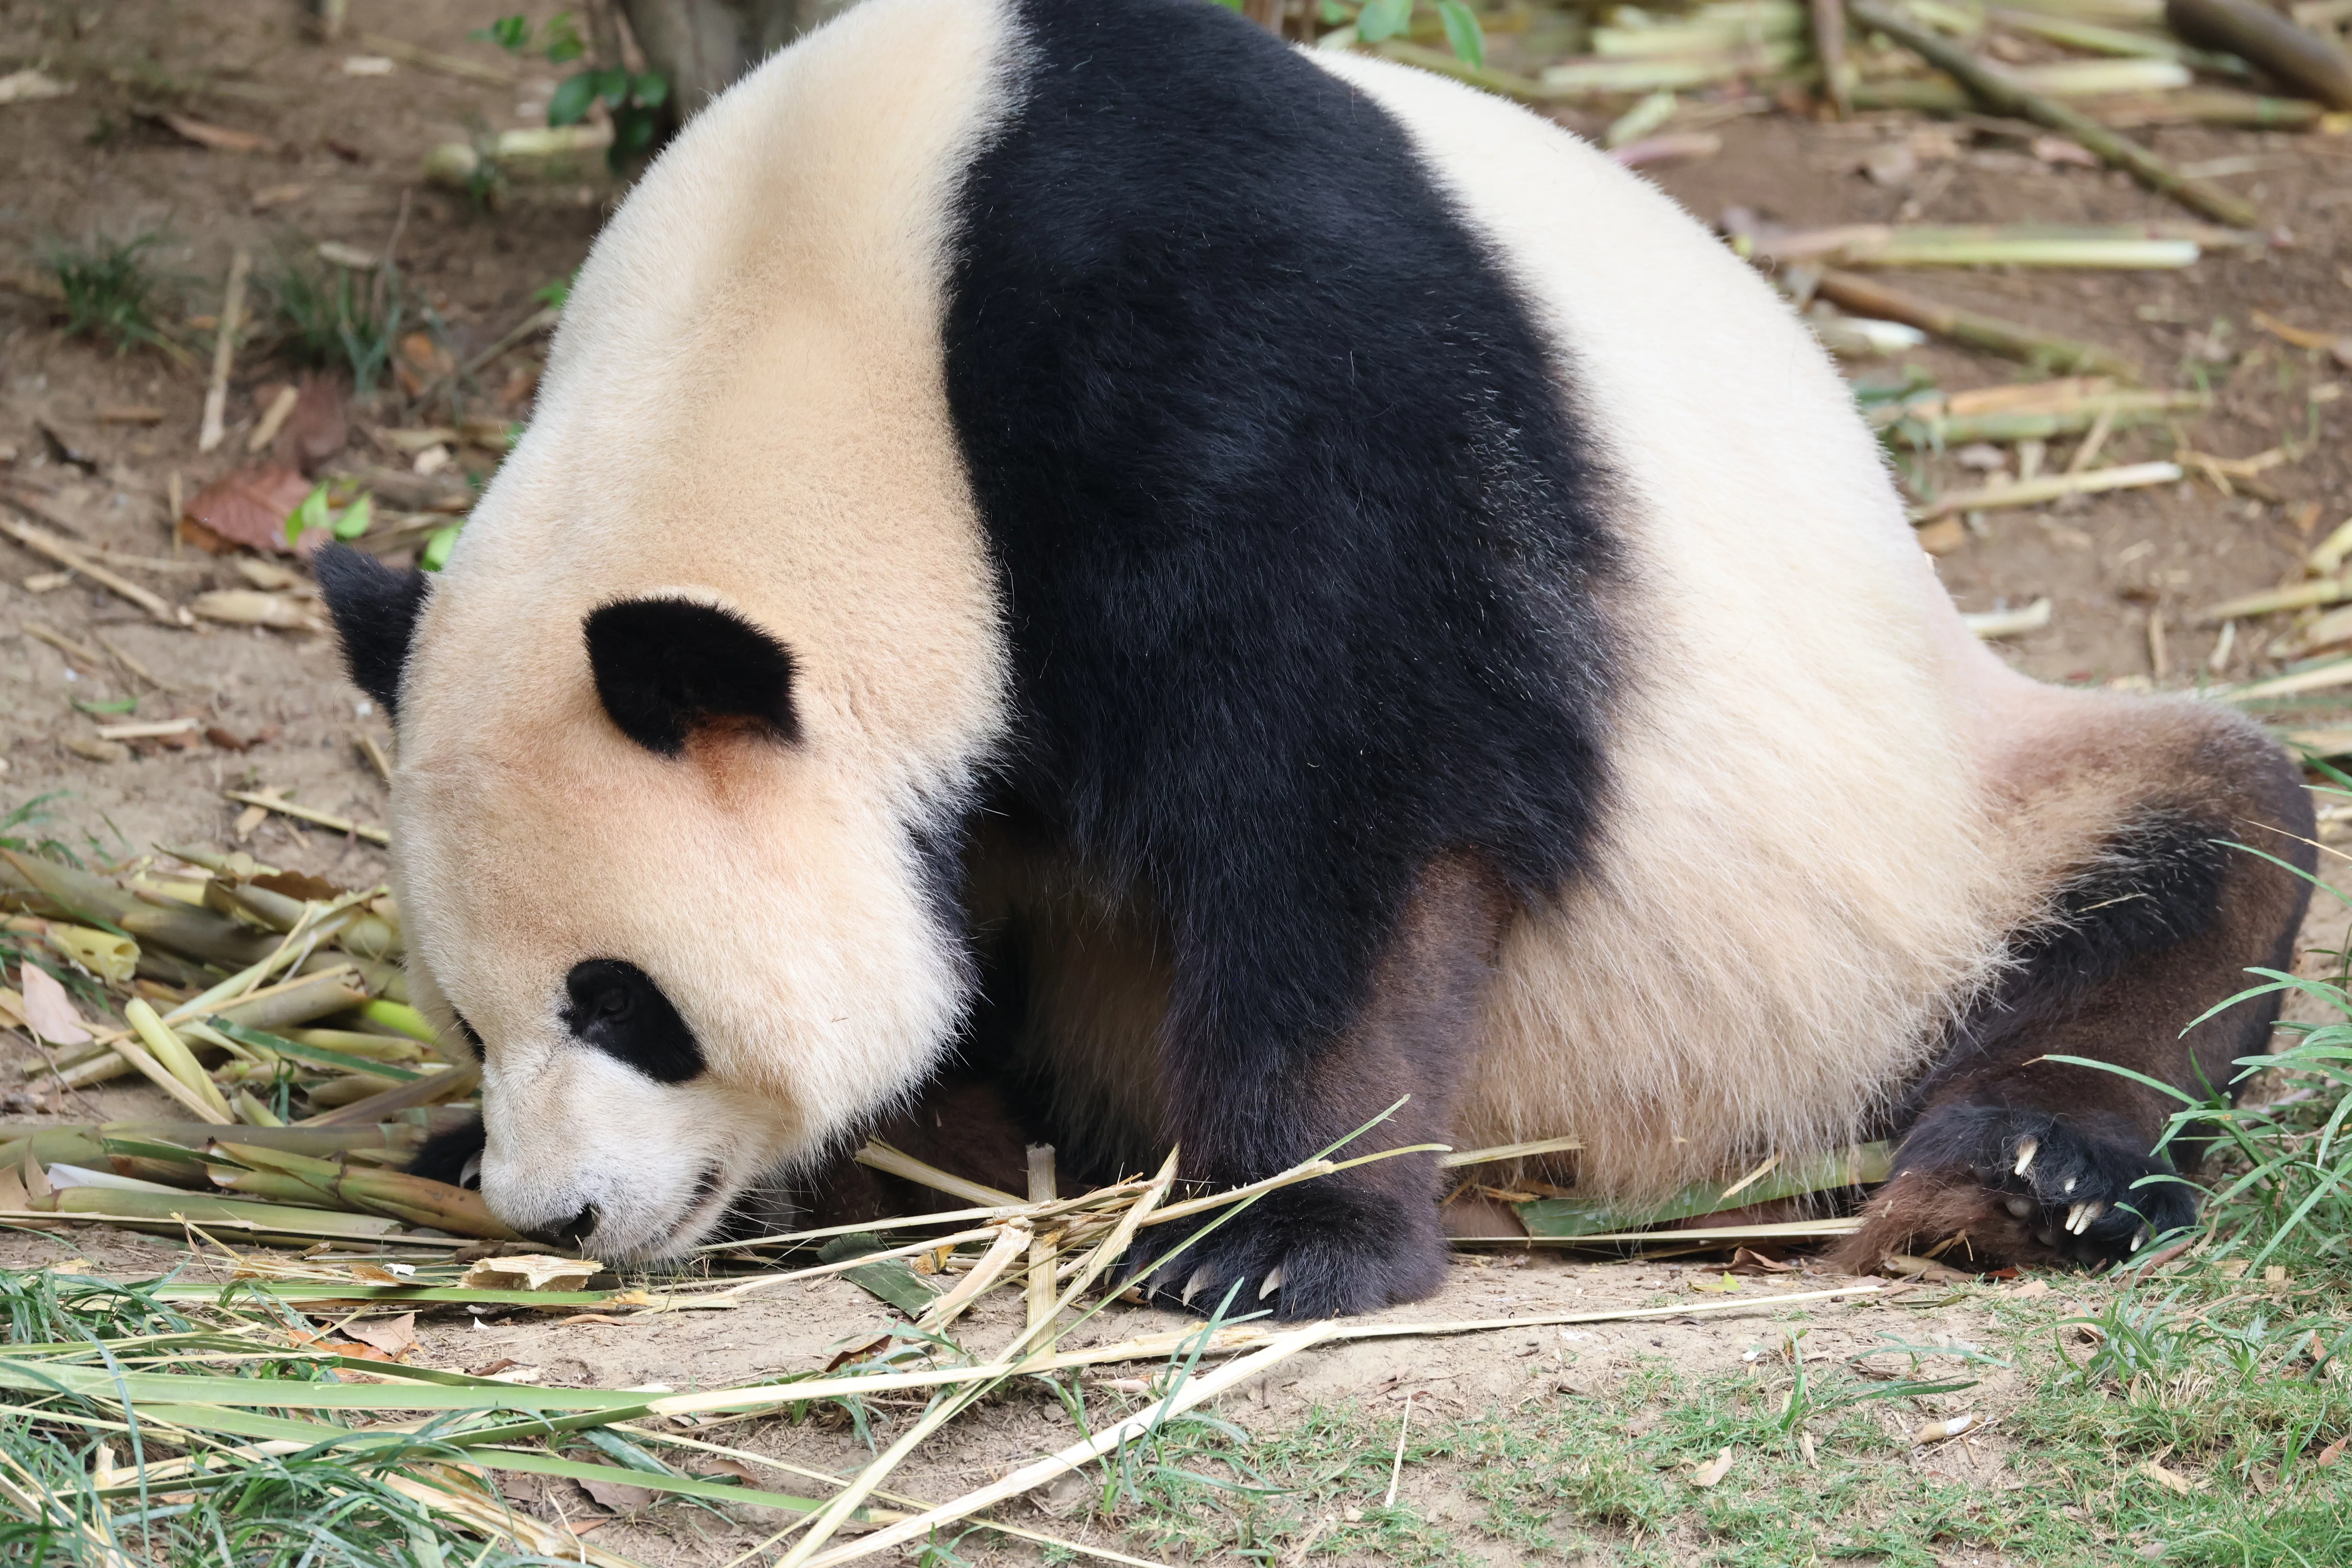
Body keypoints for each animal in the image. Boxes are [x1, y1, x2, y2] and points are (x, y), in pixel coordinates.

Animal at [317, 0, 2315, 1320]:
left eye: (624, 1003)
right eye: (472, 1017)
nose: (559, 1215)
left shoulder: (1246, 349)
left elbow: (1363, 801)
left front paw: (1271, 1239)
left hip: (1907, 855)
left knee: (2209, 829)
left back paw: (2026, 1174)